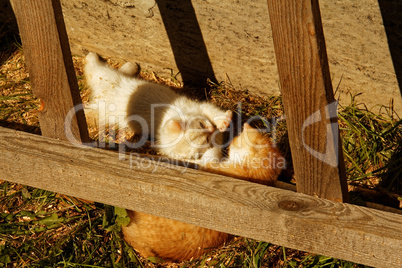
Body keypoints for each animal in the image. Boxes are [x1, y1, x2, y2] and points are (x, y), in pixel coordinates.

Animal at [84, 53, 232, 160]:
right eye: (206, 140)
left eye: (201, 124)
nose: (212, 130)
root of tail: (97, 97)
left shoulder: (197, 106)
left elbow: (213, 112)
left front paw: (224, 120)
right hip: (102, 103)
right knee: (94, 70)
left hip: (111, 80)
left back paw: (130, 65)